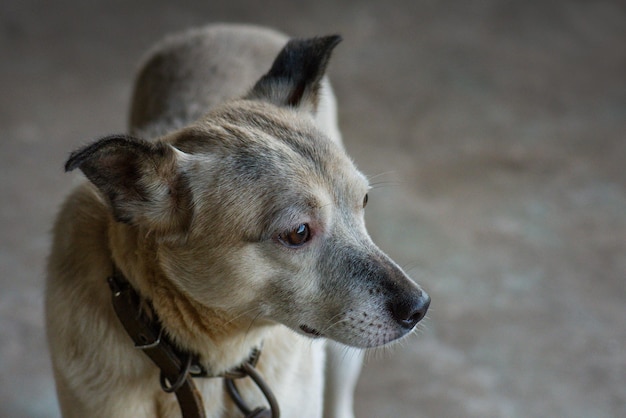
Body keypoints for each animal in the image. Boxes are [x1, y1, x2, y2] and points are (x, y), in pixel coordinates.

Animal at [45, 23, 428, 418]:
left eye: (363, 201)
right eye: (298, 233)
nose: (420, 307)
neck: (213, 364)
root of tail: (227, 28)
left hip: (341, 359)